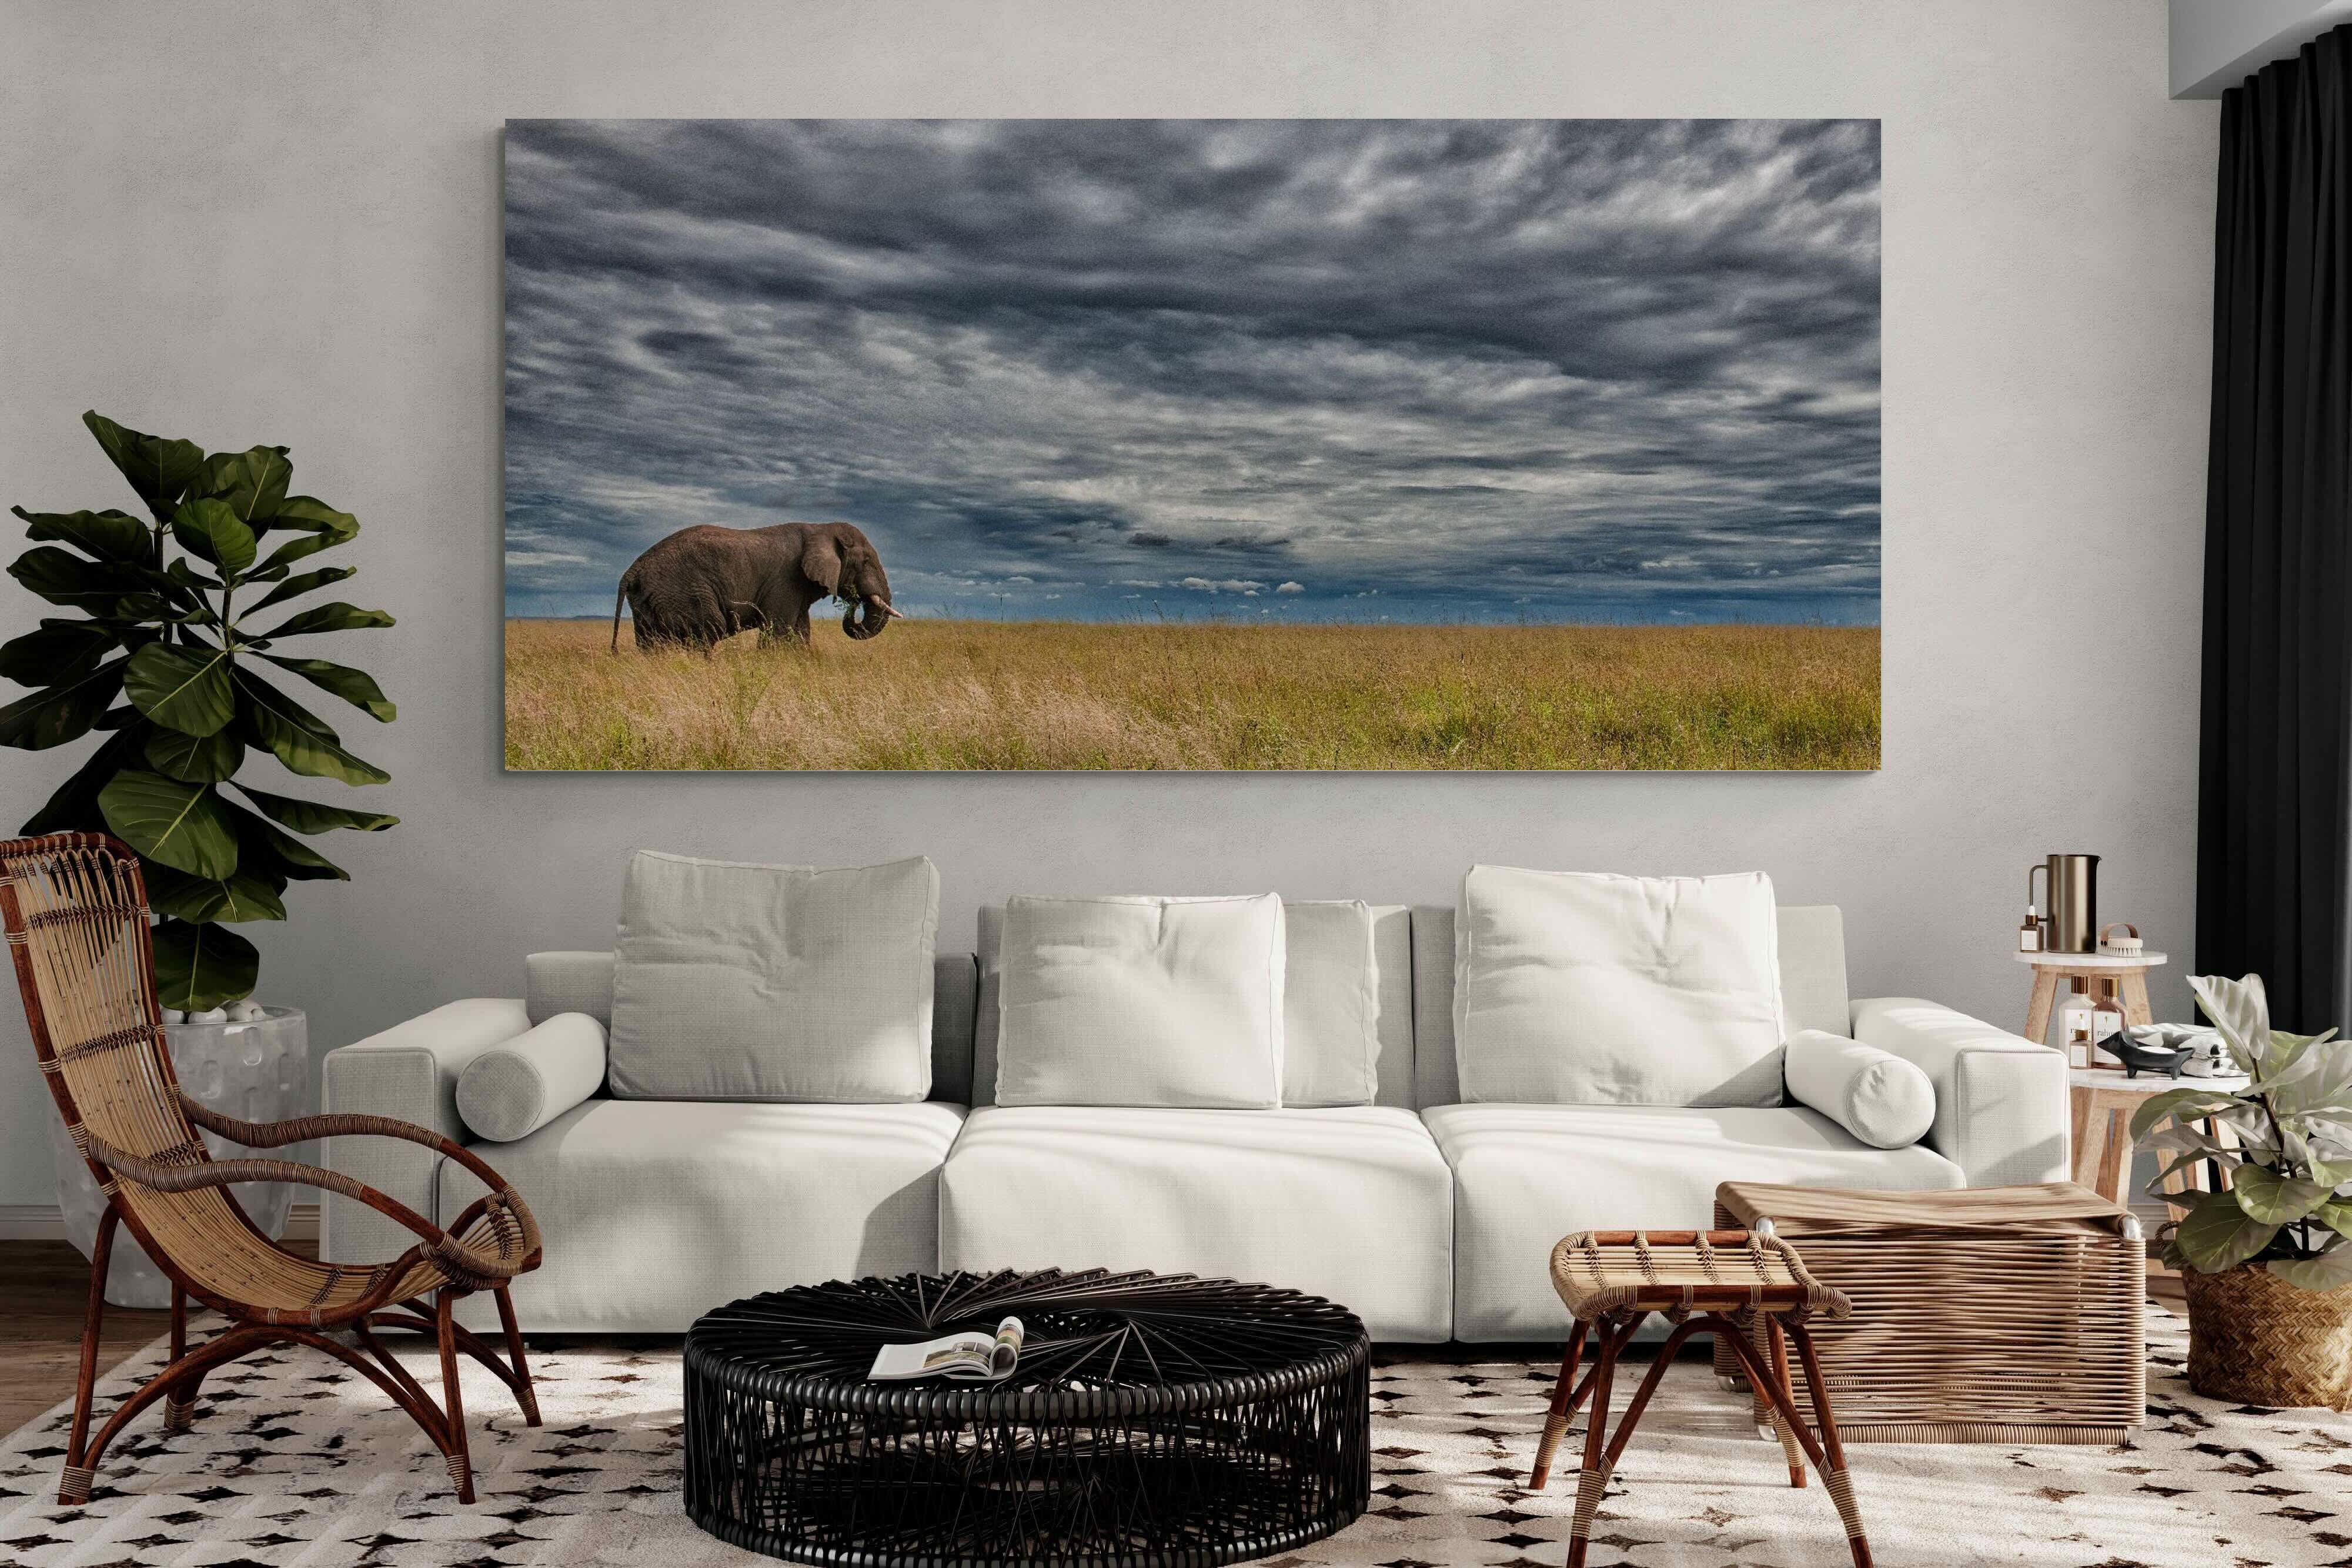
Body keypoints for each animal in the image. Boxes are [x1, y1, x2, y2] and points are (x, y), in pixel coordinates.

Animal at [610, 521, 903, 653]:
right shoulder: (786, 580)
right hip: (682, 590)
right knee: (711, 627)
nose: (853, 601)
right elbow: (779, 631)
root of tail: (632, 570)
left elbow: (801, 631)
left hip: (647, 598)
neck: (818, 528)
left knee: (651, 642)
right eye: (866, 562)